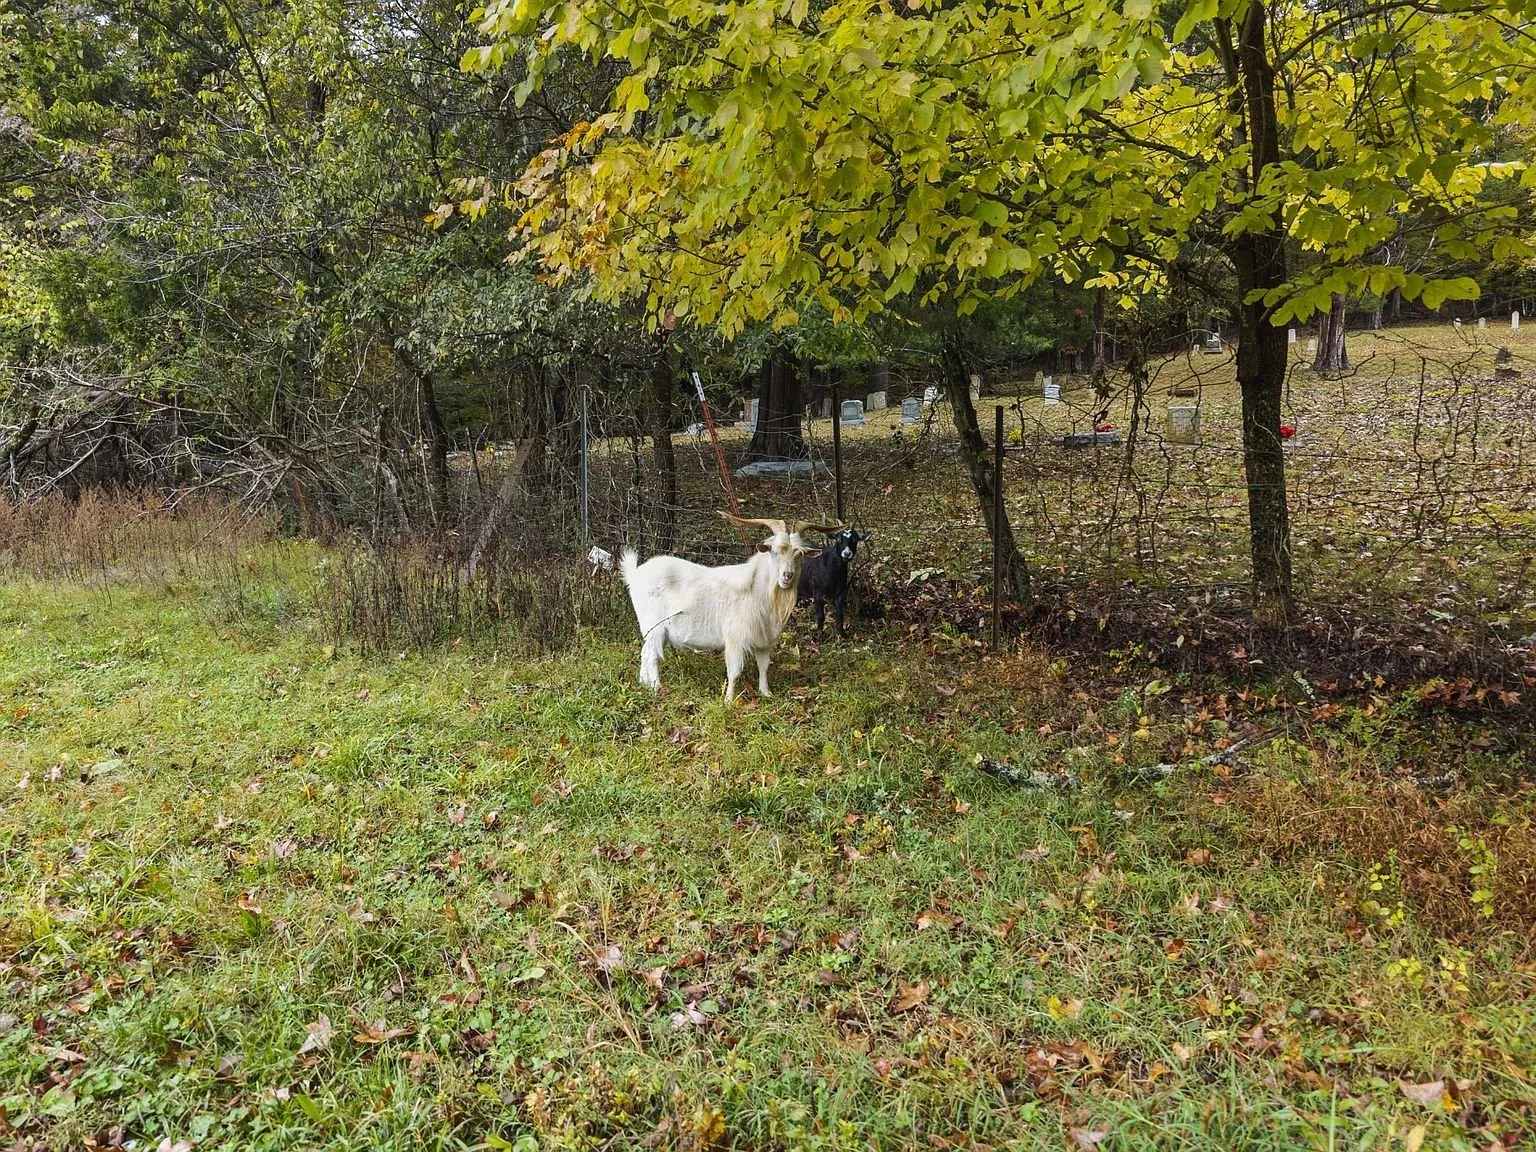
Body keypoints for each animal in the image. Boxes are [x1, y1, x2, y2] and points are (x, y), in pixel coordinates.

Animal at [620, 512, 841, 701]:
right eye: (774, 552)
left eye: (799, 554)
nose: (787, 576)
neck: (758, 592)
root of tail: (635, 574)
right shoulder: (735, 638)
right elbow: (734, 671)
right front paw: (728, 700)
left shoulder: (764, 640)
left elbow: (763, 667)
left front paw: (766, 693)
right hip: (655, 626)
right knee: (651, 656)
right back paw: (657, 688)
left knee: (645, 652)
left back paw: (644, 685)